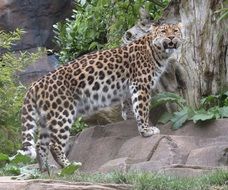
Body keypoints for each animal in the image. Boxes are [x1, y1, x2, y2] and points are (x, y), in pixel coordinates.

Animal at [17, 22, 182, 171]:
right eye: (163, 31)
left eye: (175, 30)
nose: (171, 37)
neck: (158, 52)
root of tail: (35, 85)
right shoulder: (141, 85)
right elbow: (142, 108)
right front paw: (146, 130)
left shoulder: (130, 87)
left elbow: (129, 104)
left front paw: (128, 117)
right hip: (62, 113)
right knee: (54, 144)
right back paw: (69, 166)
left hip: (46, 118)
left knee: (40, 144)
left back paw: (45, 168)